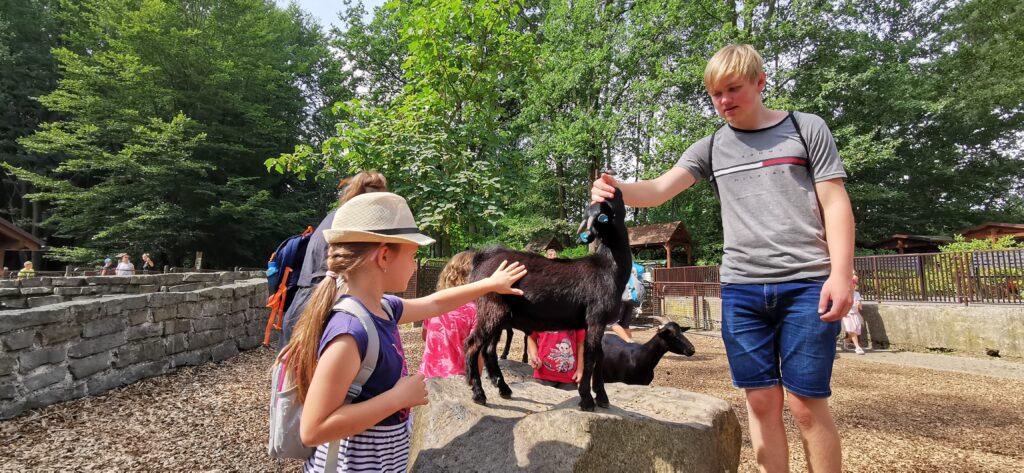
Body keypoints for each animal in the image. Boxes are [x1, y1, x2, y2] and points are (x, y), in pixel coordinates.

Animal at [465, 189, 631, 411]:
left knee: (488, 350)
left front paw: (602, 397)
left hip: (498, 315)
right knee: (472, 345)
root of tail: (481, 259)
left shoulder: (597, 322)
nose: (616, 190)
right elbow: (590, 358)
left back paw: (503, 388)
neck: (608, 268)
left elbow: (599, 356)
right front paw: (587, 400)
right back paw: (478, 394)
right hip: (492, 308)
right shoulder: (596, 317)